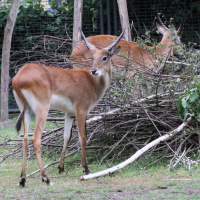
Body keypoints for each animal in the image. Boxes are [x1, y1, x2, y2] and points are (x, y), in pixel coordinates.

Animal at [11, 28, 124, 186]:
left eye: (104, 57)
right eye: (92, 57)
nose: (94, 71)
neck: (92, 83)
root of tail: (18, 78)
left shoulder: (69, 113)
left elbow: (67, 137)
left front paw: (61, 168)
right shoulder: (81, 110)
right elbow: (83, 136)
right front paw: (86, 169)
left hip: (26, 111)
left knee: (25, 140)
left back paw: (22, 179)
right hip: (42, 110)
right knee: (36, 139)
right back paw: (46, 179)